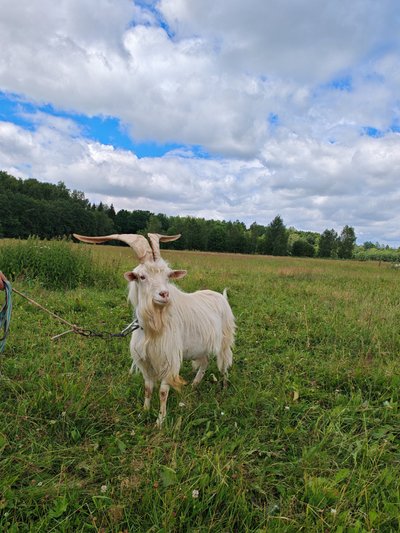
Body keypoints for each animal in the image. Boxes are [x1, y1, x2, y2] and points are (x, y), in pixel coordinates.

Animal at [73, 231, 234, 426]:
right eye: (142, 276)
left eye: (167, 276)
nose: (164, 294)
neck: (153, 328)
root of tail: (222, 297)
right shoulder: (144, 361)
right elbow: (148, 388)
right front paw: (144, 412)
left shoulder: (168, 360)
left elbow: (163, 392)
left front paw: (160, 421)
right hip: (200, 347)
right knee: (204, 363)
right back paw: (195, 385)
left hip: (225, 341)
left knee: (224, 365)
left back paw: (224, 387)